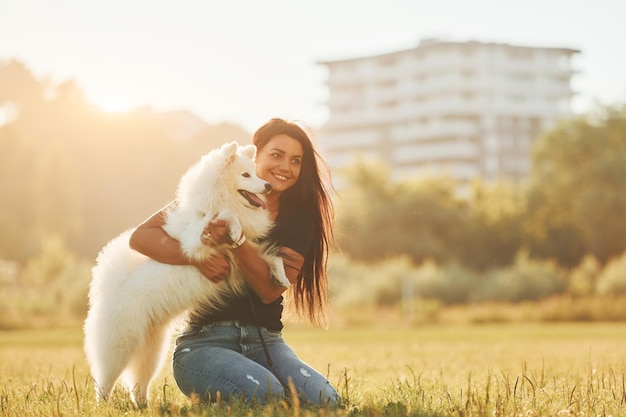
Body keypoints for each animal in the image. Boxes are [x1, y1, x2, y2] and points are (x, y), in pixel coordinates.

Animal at [81, 141, 292, 404]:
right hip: (121, 344)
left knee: (139, 381)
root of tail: (114, 286)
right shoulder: (197, 243)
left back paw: (143, 405)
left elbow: (271, 257)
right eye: (246, 175)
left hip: (153, 349)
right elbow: (225, 215)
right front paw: (233, 228)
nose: (268, 186)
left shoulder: (242, 262)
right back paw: (103, 404)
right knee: (105, 379)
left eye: (256, 173)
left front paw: (281, 276)